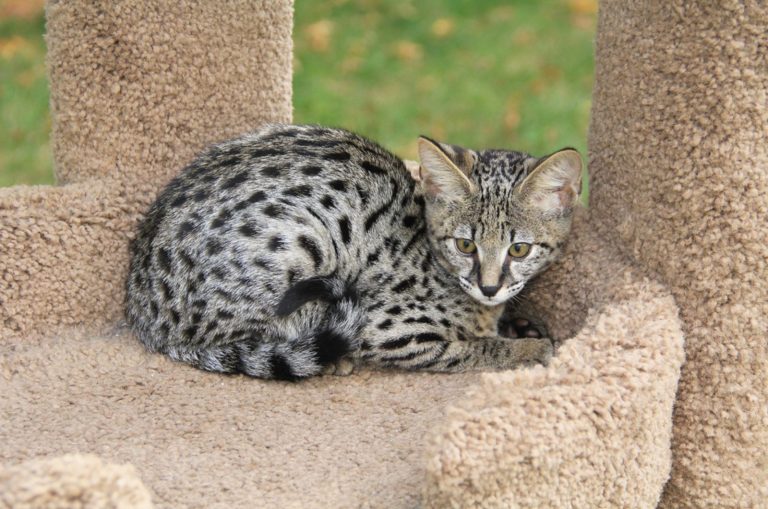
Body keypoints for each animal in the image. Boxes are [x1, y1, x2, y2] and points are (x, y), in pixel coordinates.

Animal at [126, 124, 584, 378]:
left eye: (519, 249)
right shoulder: (388, 328)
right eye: (465, 245)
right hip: (301, 242)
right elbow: (469, 348)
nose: (489, 287)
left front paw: (521, 328)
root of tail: (143, 315)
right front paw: (528, 348)